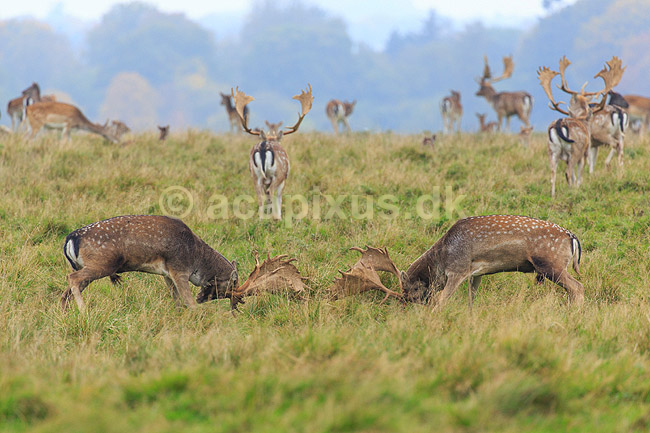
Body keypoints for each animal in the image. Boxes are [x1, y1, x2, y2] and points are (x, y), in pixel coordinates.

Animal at [61, 215, 306, 312]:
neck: (196, 258)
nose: (202, 297)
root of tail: (70, 239)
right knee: (72, 279)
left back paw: (64, 312)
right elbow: (188, 302)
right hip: (103, 264)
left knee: (68, 288)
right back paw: (84, 310)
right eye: (230, 287)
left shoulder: (167, 274)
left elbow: (177, 301)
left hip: (91, 266)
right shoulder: (179, 269)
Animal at [232, 84, 313, 220]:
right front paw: (278, 217)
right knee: (271, 192)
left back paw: (261, 219)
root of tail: (264, 146)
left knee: (260, 195)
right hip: (278, 174)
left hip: (256, 175)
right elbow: (279, 197)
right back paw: (275, 218)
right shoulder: (284, 178)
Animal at [333, 215, 584, 309]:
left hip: (551, 265)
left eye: (410, 291)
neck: (442, 256)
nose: (408, 307)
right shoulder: (477, 274)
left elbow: (442, 299)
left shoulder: (458, 269)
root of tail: (572, 237)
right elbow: (472, 298)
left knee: (577, 287)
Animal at [538, 56, 624, 197]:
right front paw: (577, 188)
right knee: (567, 172)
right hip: (576, 149)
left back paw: (553, 196)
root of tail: (558, 125)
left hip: (552, 151)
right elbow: (580, 173)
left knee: (553, 174)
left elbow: (574, 175)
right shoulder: (585, 150)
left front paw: (573, 188)